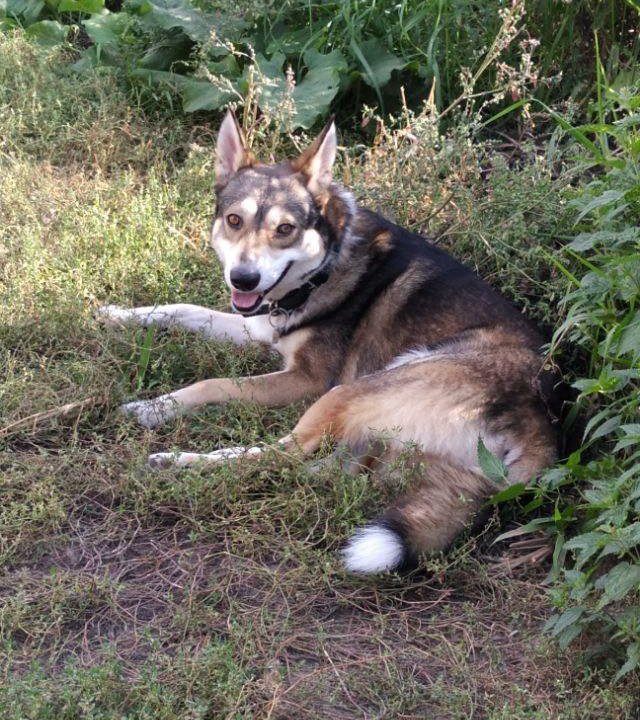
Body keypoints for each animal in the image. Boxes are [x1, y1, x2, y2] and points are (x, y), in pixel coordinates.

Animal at [97, 111, 556, 572]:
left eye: (285, 229)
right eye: (234, 221)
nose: (243, 279)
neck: (325, 266)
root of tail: (543, 433)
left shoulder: (307, 379)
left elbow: (216, 383)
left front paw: (154, 408)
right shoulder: (259, 326)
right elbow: (182, 309)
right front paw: (117, 315)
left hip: (353, 390)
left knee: (283, 453)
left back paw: (179, 462)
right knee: (325, 469)